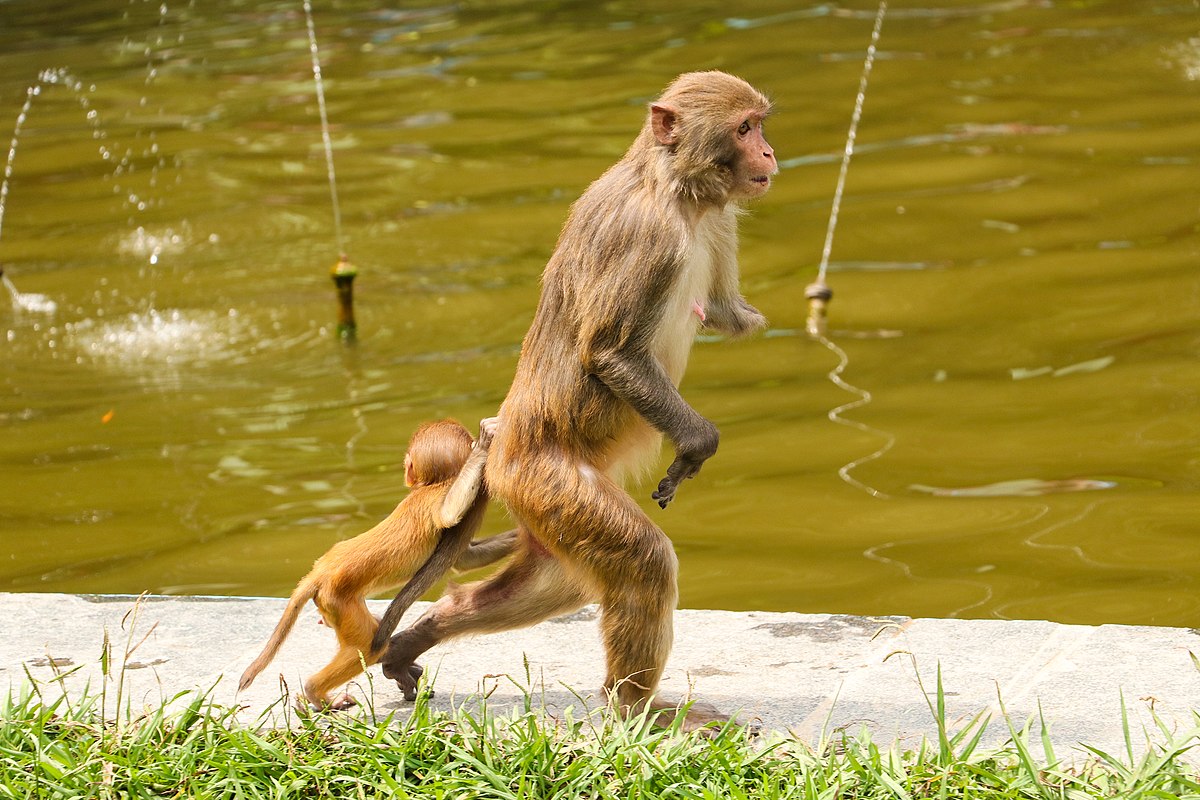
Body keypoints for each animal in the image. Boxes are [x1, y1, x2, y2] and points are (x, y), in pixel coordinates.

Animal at [238, 417, 517, 709]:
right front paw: (483, 444)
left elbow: (464, 559)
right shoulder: (434, 497)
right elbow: (450, 513)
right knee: (367, 647)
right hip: (338, 599)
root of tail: (322, 570)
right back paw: (318, 692)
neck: (430, 484)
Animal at [376, 71, 775, 731]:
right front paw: (696, 445)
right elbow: (611, 354)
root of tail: (501, 447)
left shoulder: (718, 222)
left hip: (544, 503)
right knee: (640, 562)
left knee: (561, 576)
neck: (677, 193)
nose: (768, 152)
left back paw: (423, 632)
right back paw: (634, 708)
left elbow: (723, 311)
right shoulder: (648, 240)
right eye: (745, 128)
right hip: (548, 480)